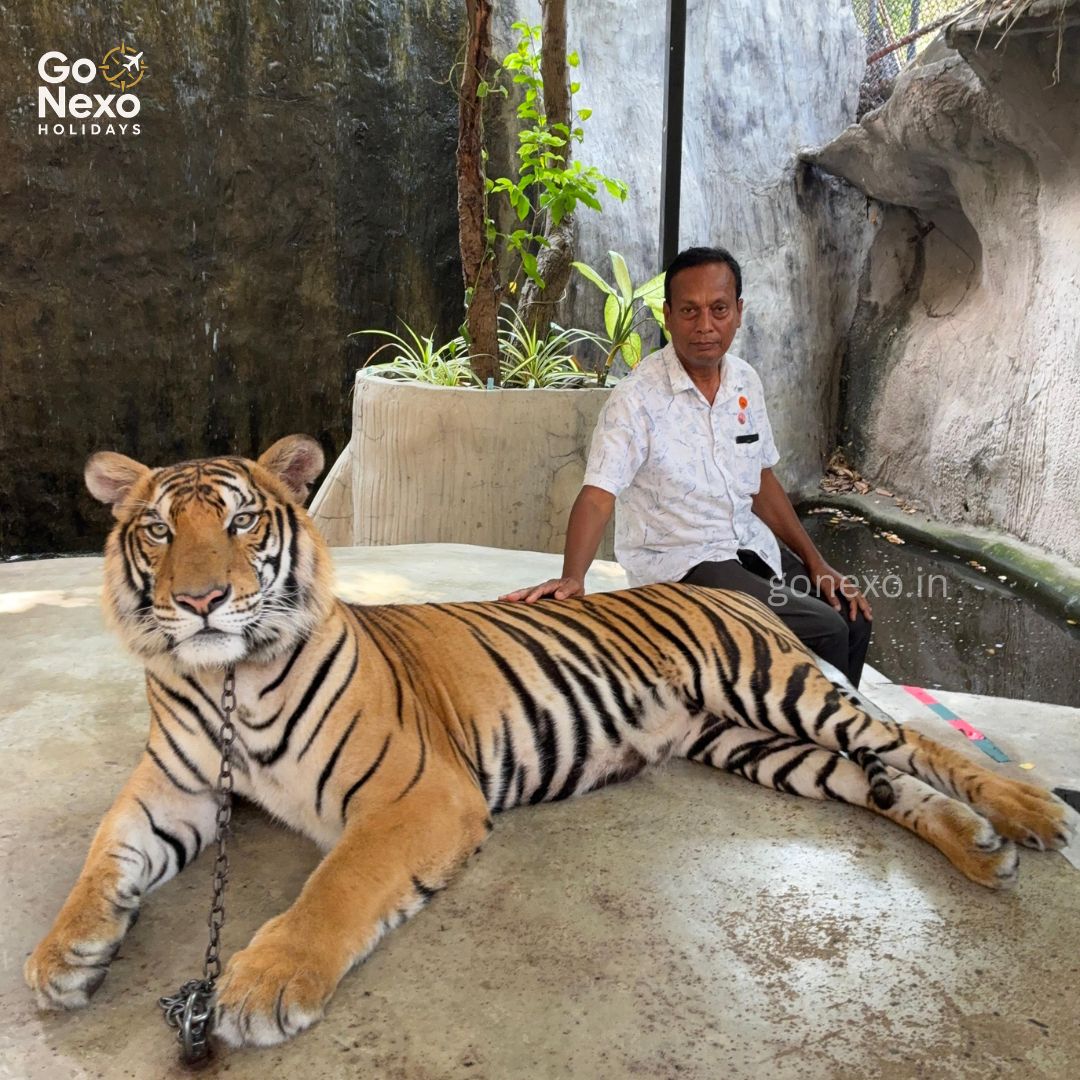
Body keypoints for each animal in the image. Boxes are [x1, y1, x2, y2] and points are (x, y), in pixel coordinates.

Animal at [25, 434, 1077, 1049]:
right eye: (159, 532)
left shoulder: (416, 793)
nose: (203, 600)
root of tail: (734, 588)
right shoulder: (175, 790)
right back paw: (980, 850)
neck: (227, 682)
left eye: (242, 522)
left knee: (909, 738)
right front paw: (63, 954)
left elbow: (337, 886)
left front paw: (262, 982)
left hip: (776, 688)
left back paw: (1027, 811)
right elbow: (104, 855)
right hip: (751, 744)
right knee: (879, 780)